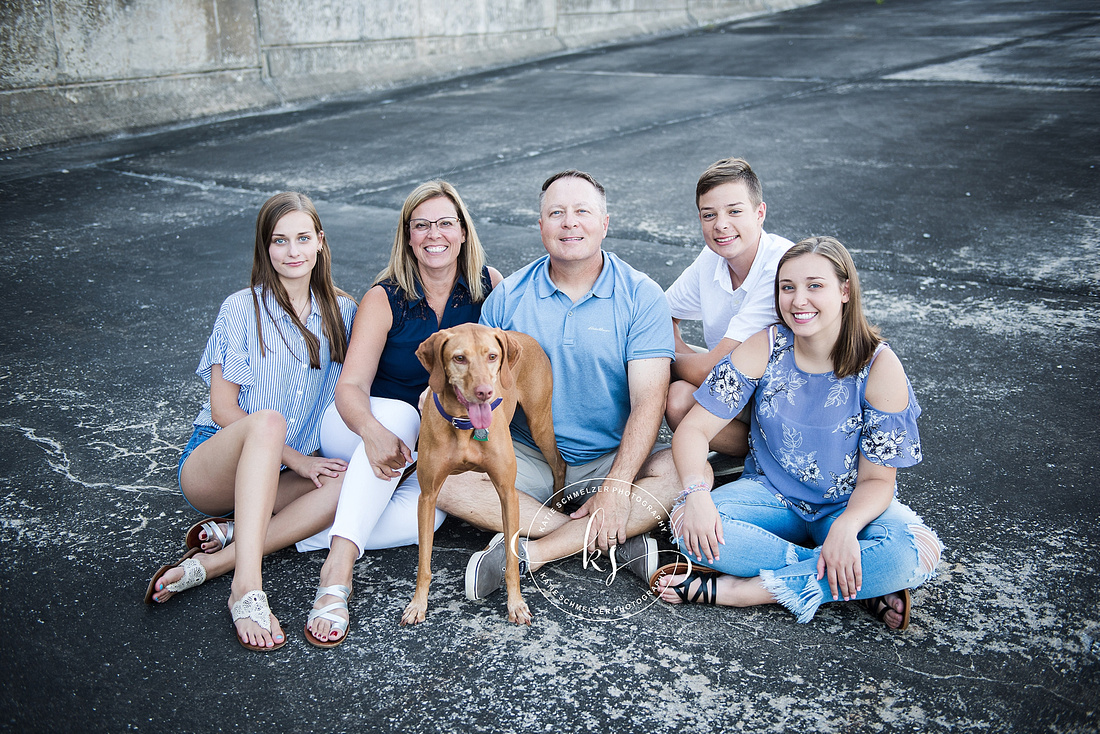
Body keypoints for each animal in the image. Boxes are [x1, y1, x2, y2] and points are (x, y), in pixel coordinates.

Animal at [400, 323, 563, 625]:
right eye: (459, 358)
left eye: (492, 356)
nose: (485, 392)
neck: (465, 424)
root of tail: (524, 337)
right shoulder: (427, 496)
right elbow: (424, 562)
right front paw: (417, 604)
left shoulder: (508, 493)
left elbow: (511, 561)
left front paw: (516, 604)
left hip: (539, 420)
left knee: (559, 463)